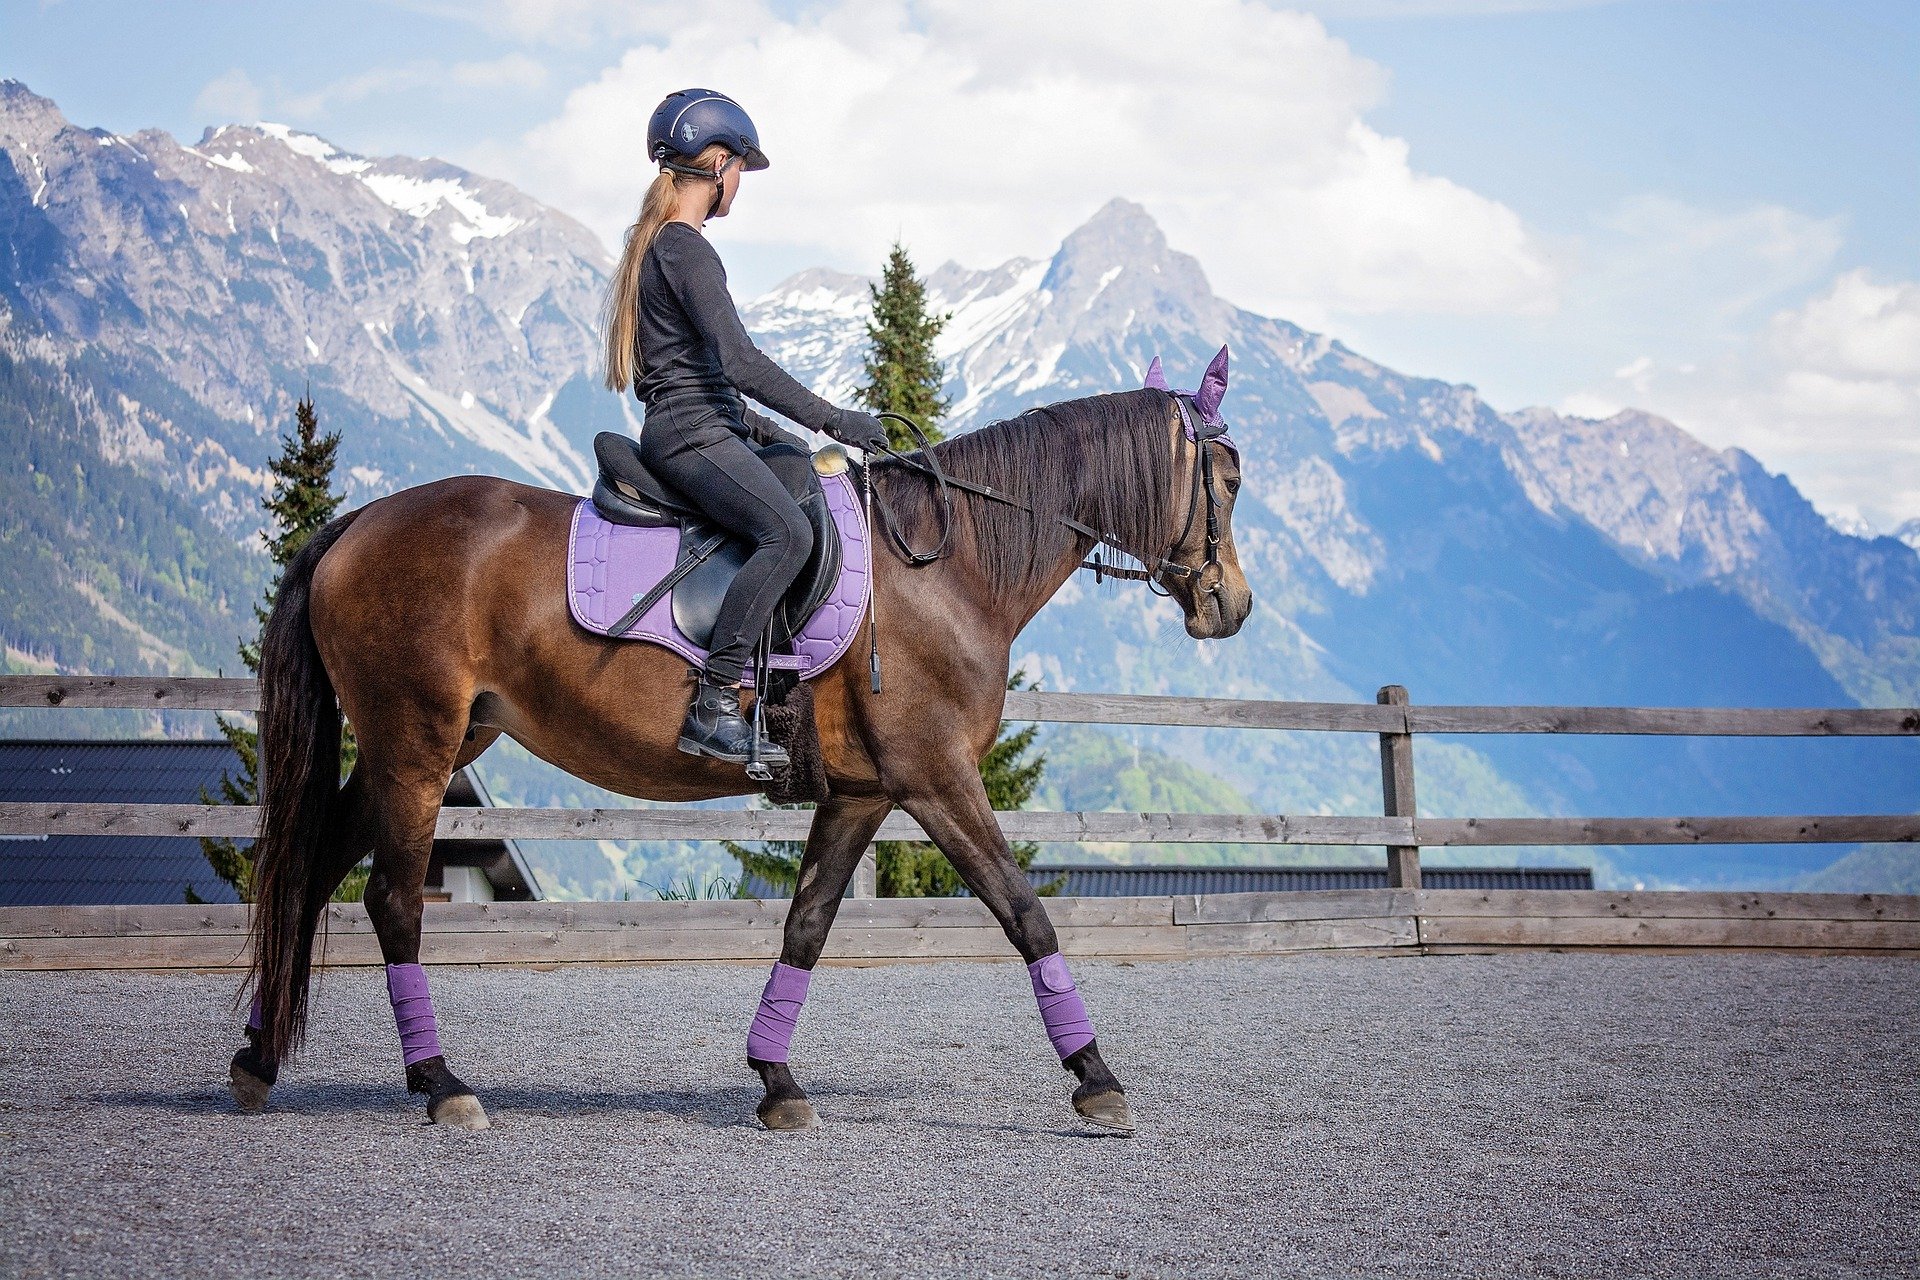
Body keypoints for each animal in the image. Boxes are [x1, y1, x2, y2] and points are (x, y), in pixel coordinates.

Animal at [232, 351, 1251, 1128]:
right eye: (1230, 479)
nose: (1231, 606)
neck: (946, 567)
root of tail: (359, 522)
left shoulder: (864, 793)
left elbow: (807, 925)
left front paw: (776, 1083)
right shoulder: (937, 779)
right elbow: (1023, 910)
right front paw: (1097, 1078)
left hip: (429, 745)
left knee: (313, 870)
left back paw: (259, 1060)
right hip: (416, 744)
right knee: (392, 902)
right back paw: (441, 1086)